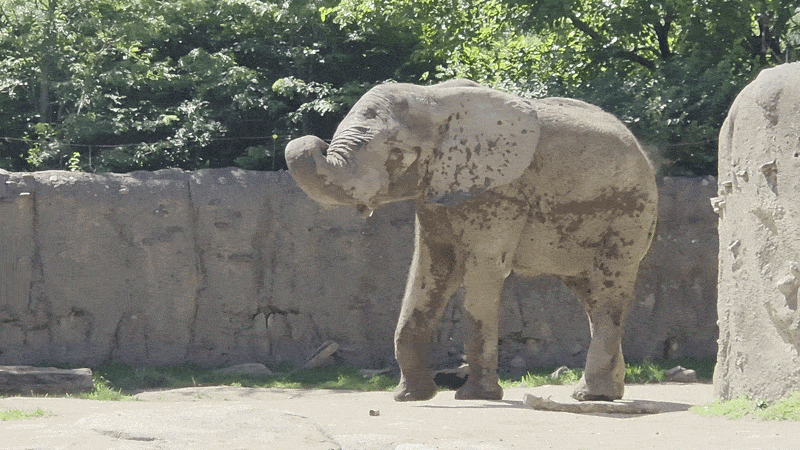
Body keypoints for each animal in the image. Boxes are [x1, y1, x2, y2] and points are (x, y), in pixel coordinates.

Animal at [285, 79, 658, 402]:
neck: (432, 98)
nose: (315, 140)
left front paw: (476, 397)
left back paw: (591, 396)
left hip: (629, 215)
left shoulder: (500, 192)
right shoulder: (436, 193)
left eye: (394, 151)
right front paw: (411, 398)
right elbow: (430, 268)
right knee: (589, 295)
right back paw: (607, 393)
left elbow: (482, 271)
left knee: (609, 290)